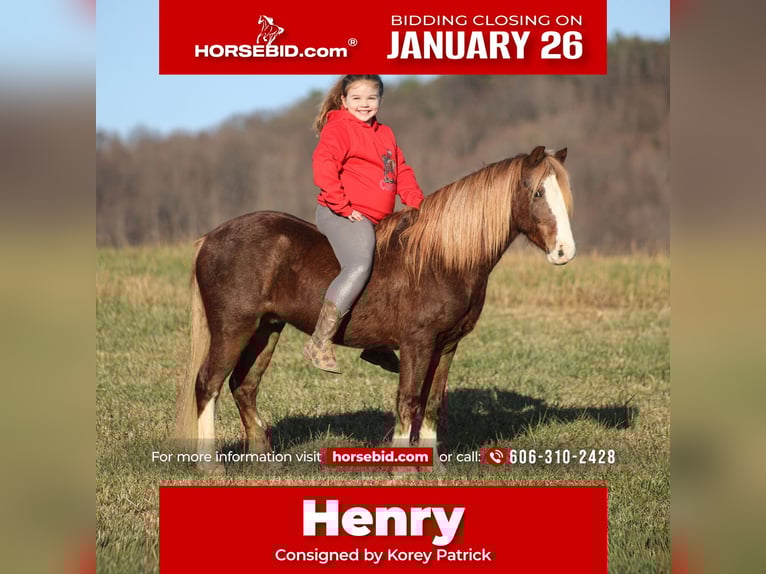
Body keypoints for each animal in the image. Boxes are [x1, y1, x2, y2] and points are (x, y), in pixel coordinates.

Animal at [173, 146, 575, 473]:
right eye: (538, 192)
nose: (564, 252)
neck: (442, 258)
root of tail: (210, 238)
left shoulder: (446, 345)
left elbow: (431, 402)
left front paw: (432, 468)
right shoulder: (417, 344)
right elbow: (408, 400)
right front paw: (402, 469)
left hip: (266, 328)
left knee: (244, 386)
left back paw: (264, 459)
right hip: (233, 328)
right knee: (208, 384)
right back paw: (210, 466)